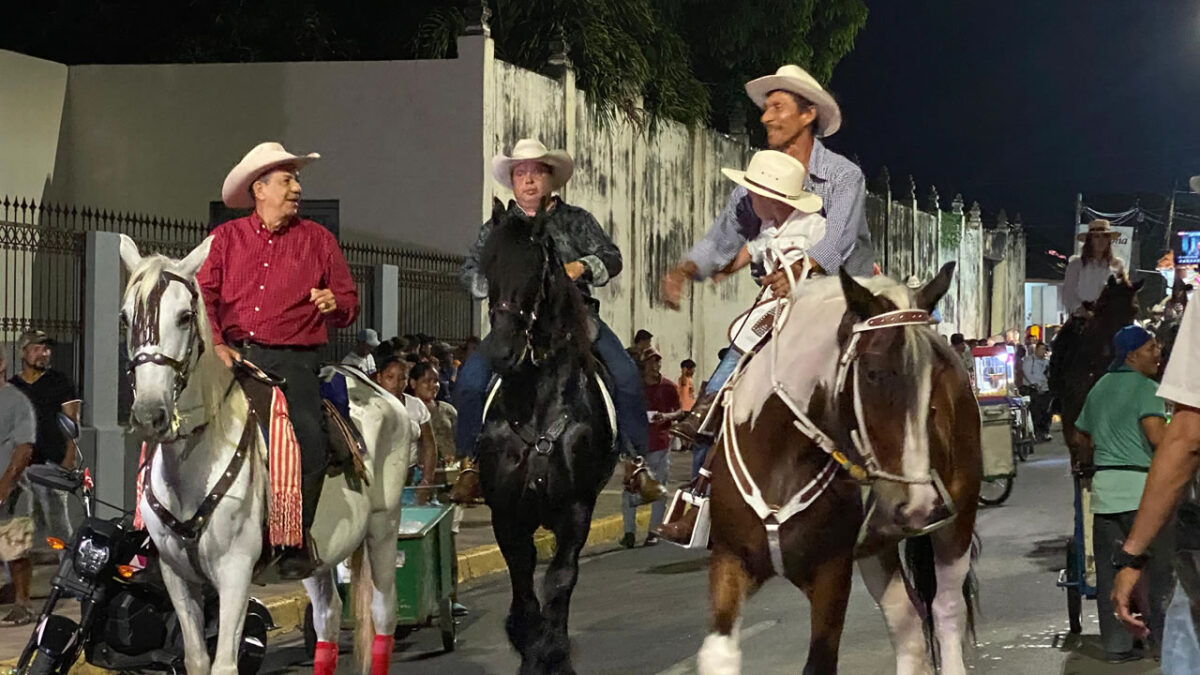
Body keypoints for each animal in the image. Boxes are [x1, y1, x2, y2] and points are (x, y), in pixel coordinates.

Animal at [120, 236, 412, 672]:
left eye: (185, 316)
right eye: (126, 318)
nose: (149, 415)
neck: (194, 463)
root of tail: (382, 392)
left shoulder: (235, 573)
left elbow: (224, 664)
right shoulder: (177, 576)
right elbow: (196, 660)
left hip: (383, 527)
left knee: (383, 614)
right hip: (320, 555)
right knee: (327, 617)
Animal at [470, 199, 614, 672]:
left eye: (536, 269)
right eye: (488, 265)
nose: (502, 351)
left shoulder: (577, 508)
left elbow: (559, 580)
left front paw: (552, 653)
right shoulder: (506, 511)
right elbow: (522, 582)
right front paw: (529, 644)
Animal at [700, 263, 979, 672]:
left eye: (935, 376)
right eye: (872, 373)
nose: (919, 506)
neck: (781, 461)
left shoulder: (831, 571)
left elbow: (820, 661)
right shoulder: (730, 557)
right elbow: (716, 654)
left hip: (957, 521)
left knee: (946, 610)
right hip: (877, 546)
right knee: (907, 624)